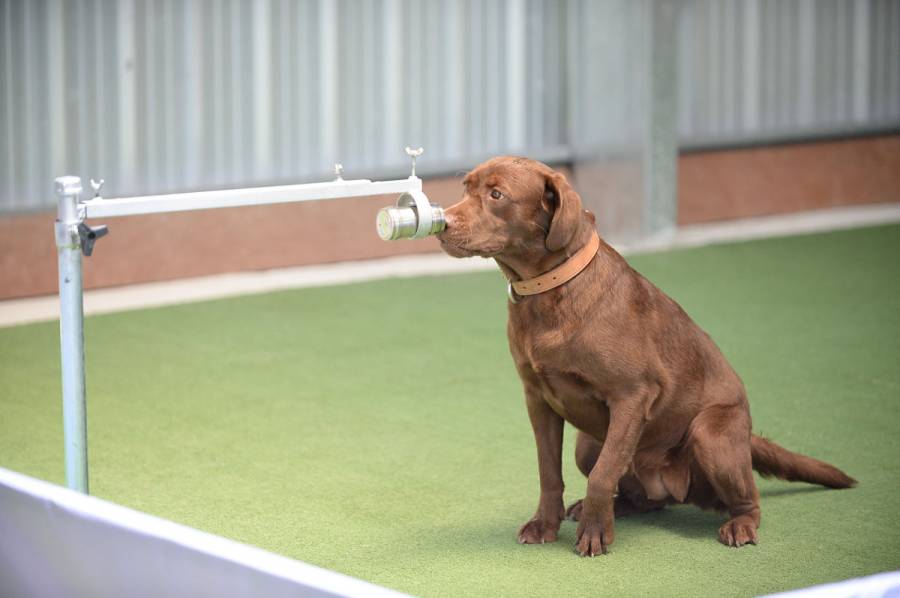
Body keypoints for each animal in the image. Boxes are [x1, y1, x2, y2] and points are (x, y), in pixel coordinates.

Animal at [440, 158, 856, 556]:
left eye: (496, 195)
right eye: (466, 187)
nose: (442, 222)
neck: (551, 288)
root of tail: (748, 436)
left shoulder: (632, 395)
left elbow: (603, 474)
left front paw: (595, 534)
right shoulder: (537, 399)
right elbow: (549, 472)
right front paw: (545, 525)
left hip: (710, 435)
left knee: (748, 499)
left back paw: (739, 526)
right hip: (587, 443)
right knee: (644, 499)